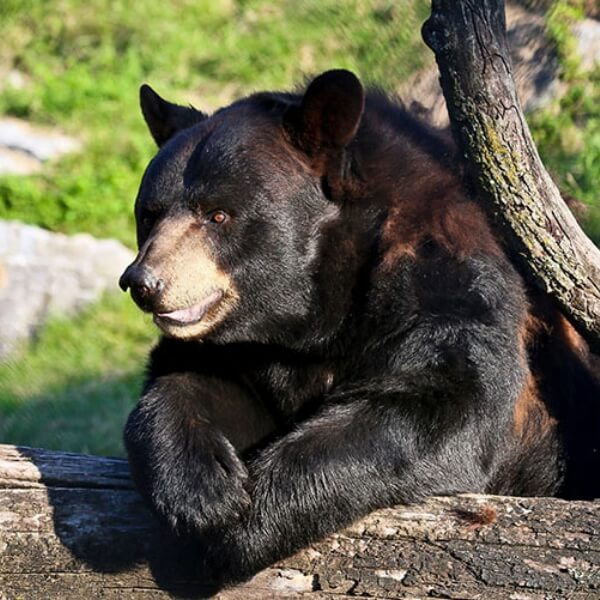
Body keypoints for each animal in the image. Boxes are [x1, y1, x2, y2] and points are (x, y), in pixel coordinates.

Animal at [118, 68, 600, 580]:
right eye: (148, 213)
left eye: (219, 214)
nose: (143, 281)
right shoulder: (251, 348)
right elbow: (195, 382)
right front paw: (203, 494)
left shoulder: (451, 284)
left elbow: (450, 402)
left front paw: (246, 524)